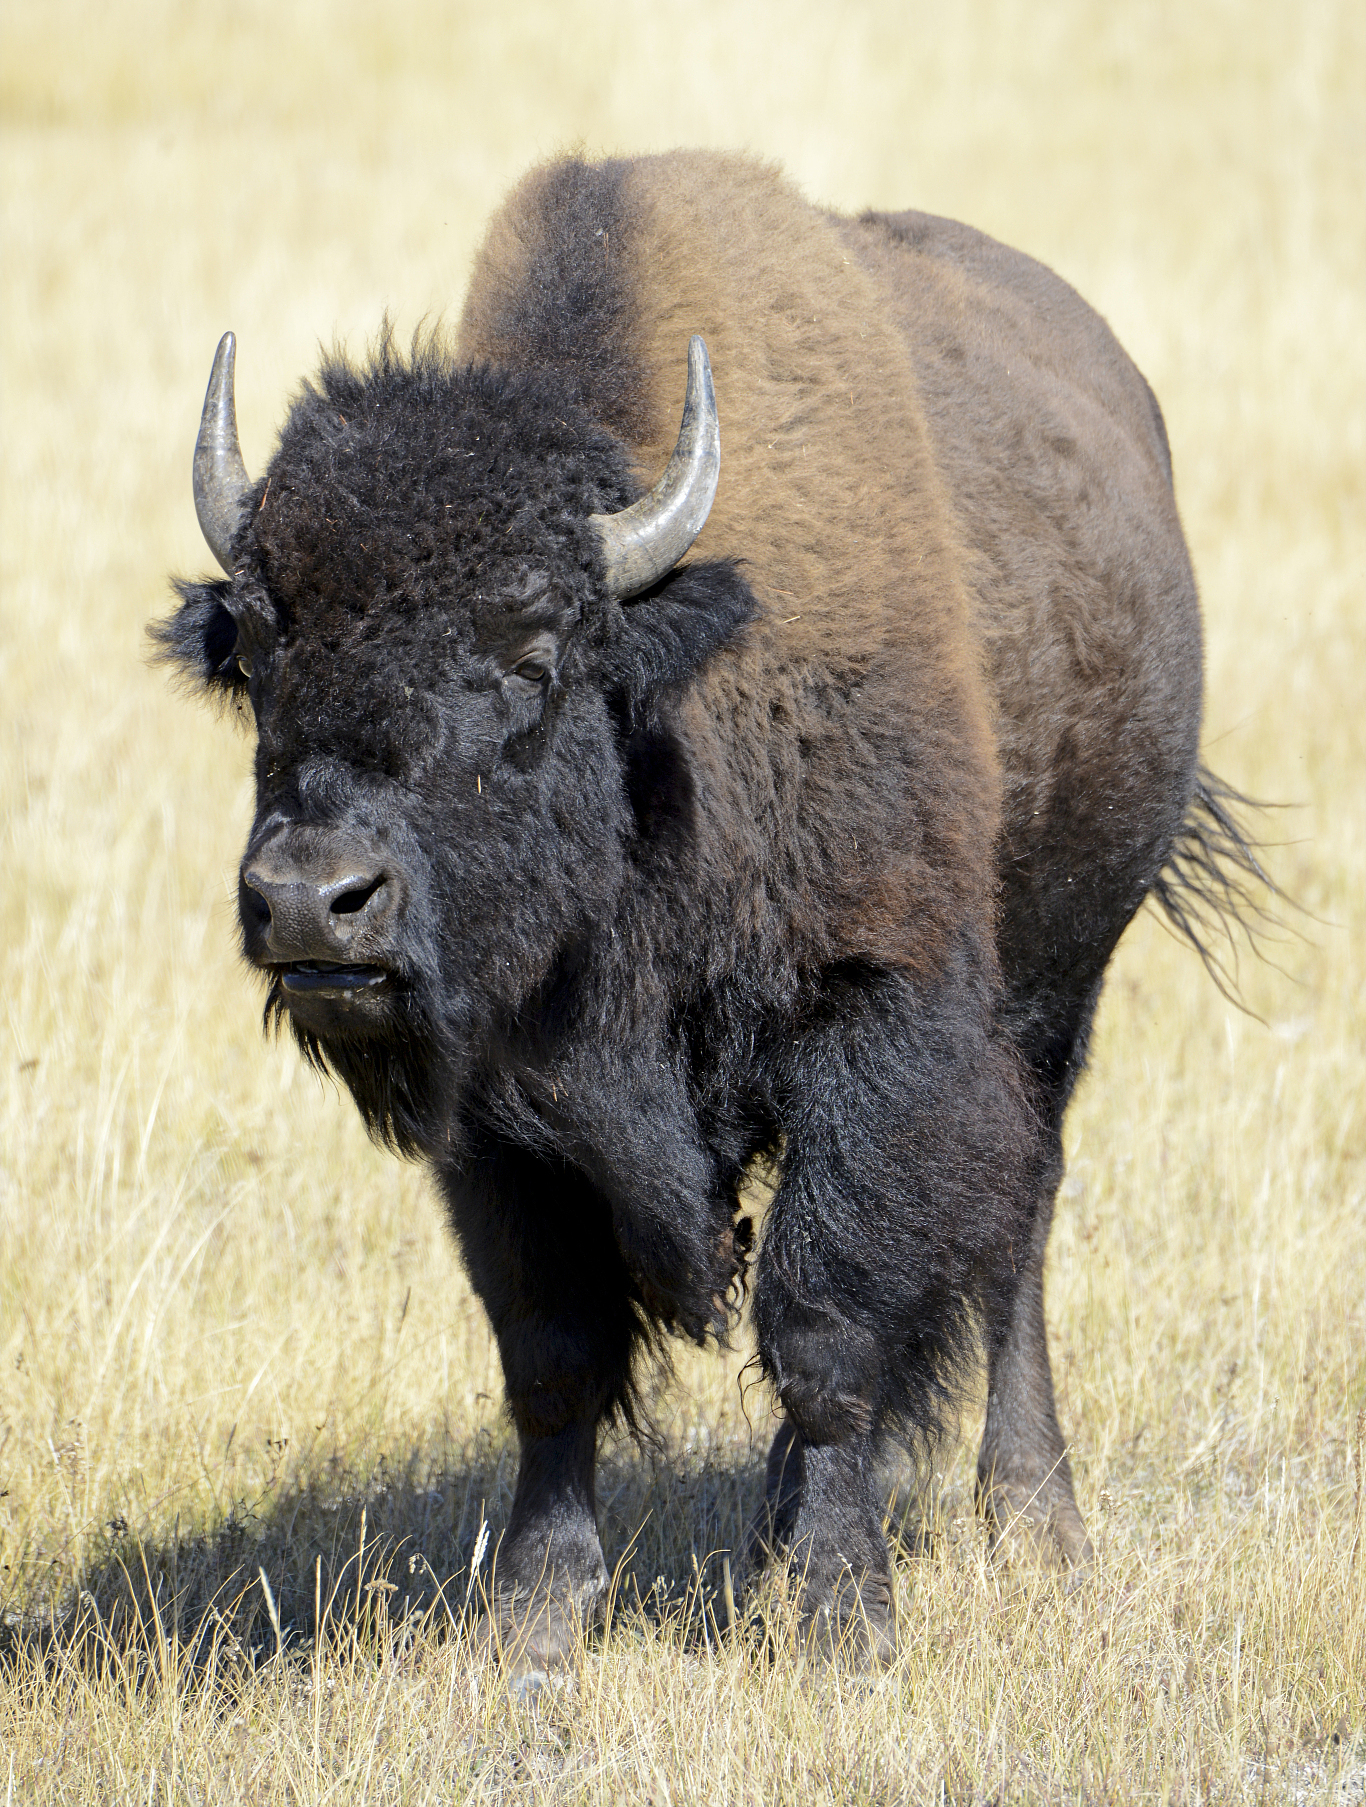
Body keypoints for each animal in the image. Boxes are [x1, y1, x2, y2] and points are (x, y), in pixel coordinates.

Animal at [157, 151, 1257, 1662]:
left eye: (531, 649)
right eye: (262, 646)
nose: (313, 904)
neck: (664, 712)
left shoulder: (878, 1026)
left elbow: (824, 1328)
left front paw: (847, 1618)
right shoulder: (500, 1113)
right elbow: (553, 1357)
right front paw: (532, 1629)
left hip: (1060, 989)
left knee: (1018, 1226)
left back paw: (1031, 1515)